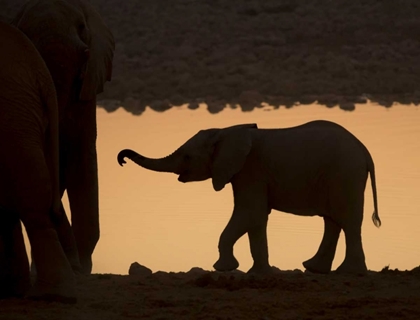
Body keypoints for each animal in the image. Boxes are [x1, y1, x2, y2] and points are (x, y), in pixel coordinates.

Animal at [117, 120, 380, 276]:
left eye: (188, 157)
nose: (122, 159)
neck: (225, 131)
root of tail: (365, 152)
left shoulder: (250, 170)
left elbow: (249, 214)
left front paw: (224, 269)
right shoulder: (247, 173)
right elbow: (256, 219)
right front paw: (260, 273)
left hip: (345, 174)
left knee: (347, 221)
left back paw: (349, 273)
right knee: (333, 221)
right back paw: (314, 269)